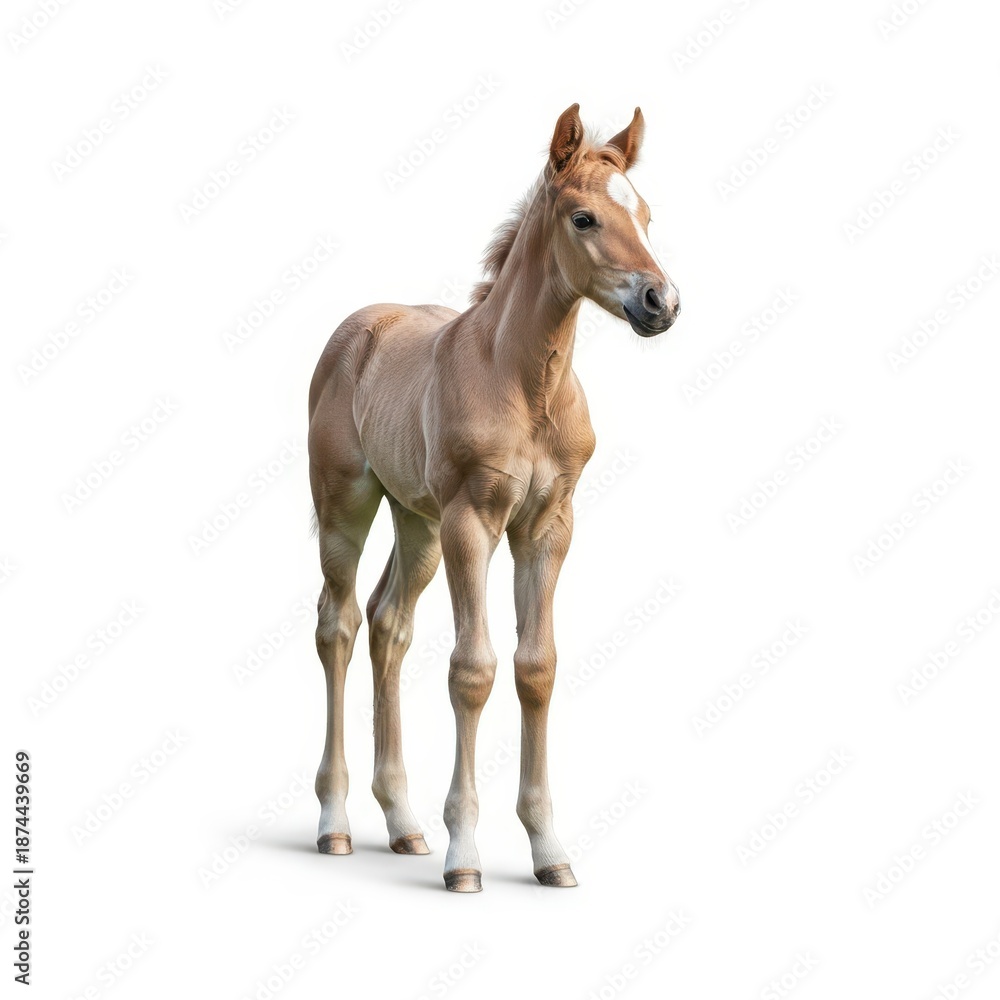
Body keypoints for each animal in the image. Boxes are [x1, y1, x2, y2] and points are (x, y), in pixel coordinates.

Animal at [307, 103, 680, 892]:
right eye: (583, 218)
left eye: (646, 215)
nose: (661, 302)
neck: (523, 380)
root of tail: (359, 327)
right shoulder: (472, 522)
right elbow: (472, 670)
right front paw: (465, 857)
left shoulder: (548, 526)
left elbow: (536, 668)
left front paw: (549, 851)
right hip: (346, 506)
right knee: (338, 624)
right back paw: (335, 823)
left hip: (416, 523)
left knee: (389, 625)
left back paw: (404, 824)